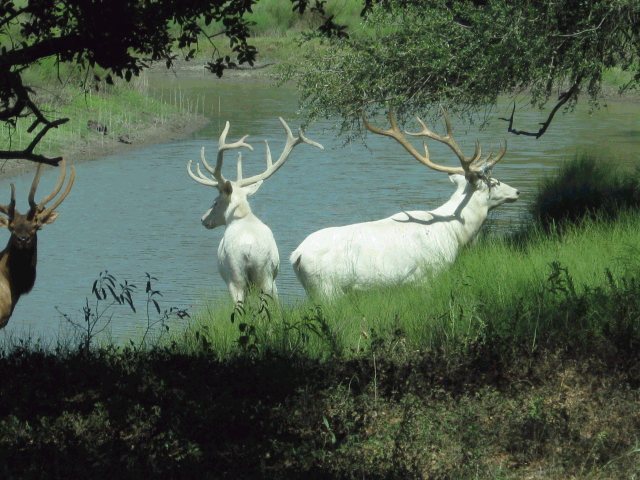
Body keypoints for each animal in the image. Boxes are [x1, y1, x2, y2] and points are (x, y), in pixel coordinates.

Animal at [187, 117, 324, 303]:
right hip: (266, 275)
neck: (242, 217)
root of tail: (248, 250)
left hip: (236, 276)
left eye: (215, 202)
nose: (203, 219)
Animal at [290, 109, 520, 298]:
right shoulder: (429, 274)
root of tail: (296, 256)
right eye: (493, 182)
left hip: (313, 291)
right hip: (327, 288)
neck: (455, 232)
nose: (517, 192)